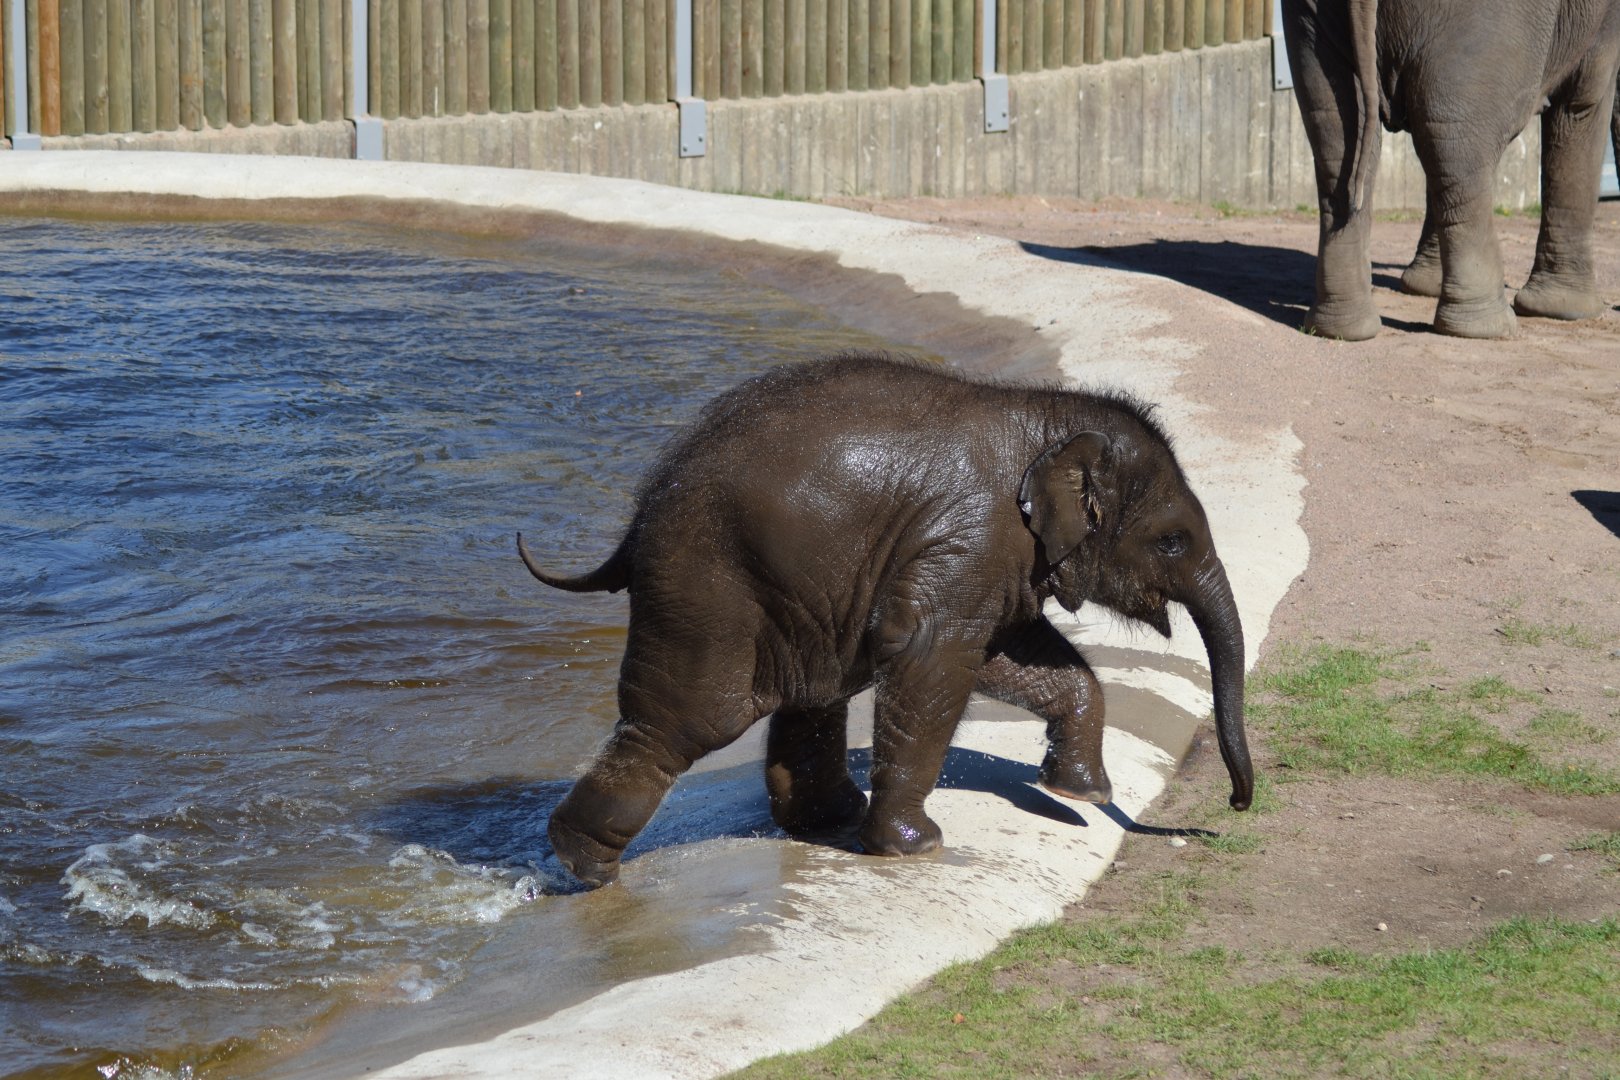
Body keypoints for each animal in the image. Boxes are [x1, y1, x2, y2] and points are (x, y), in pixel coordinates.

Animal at [519, 354, 1252, 888]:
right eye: (1173, 542)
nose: (1238, 806)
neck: (1046, 419)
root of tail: (643, 505)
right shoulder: (967, 541)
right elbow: (933, 654)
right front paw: (915, 849)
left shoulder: (985, 557)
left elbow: (1006, 652)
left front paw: (1080, 793)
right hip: (705, 586)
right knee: (689, 722)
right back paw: (586, 866)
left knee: (812, 692)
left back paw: (827, 821)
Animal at [1282, 0, 1620, 339]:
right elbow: (1582, 103)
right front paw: (1565, 310)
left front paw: (1424, 287)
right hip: (1484, 24)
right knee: (1457, 150)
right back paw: (1486, 328)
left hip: (1311, 22)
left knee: (1341, 135)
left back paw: (1340, 329)